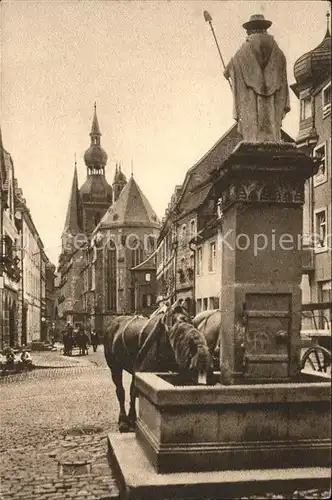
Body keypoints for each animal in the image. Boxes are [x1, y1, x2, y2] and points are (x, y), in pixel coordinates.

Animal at [104, 300, 213, 434]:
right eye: (192, 368)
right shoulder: (143, 370)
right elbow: (135, 391)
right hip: (114, 366)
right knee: (120, 390)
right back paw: (123, 422)